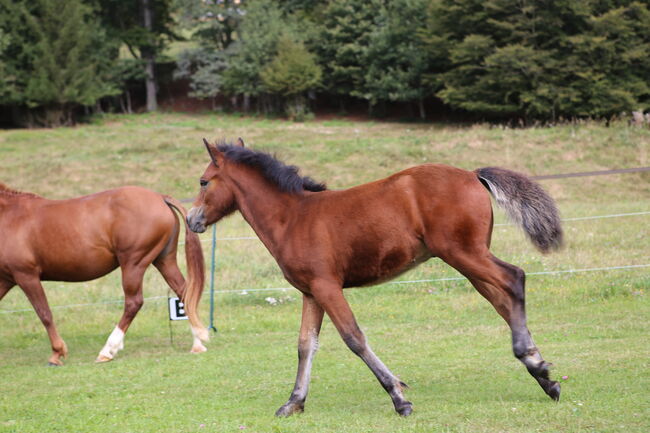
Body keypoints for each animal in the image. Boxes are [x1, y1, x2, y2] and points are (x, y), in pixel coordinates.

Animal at [0, 183, 208, 364]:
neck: (9, 216)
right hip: (164, 261)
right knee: (184, 293)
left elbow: (44, 313)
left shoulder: (26, 276)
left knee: (133, 302)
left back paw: (108, 350)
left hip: (133, 264)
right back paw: (197, 342)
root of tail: (159, 197)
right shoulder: (5, 280)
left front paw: (57, 353)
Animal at [187, 138, 560, 416]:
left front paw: (399, 396)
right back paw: (543, 374)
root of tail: (471, 174)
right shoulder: (311, 292)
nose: (192, 219)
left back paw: (534, 362)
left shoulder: (327, 287)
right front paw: (293, 402)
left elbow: (354, 338)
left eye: (204, 181)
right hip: (468, 259)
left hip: (465, 254)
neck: (292, 217)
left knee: (514, 278)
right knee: (502, 299)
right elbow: (306, 345)